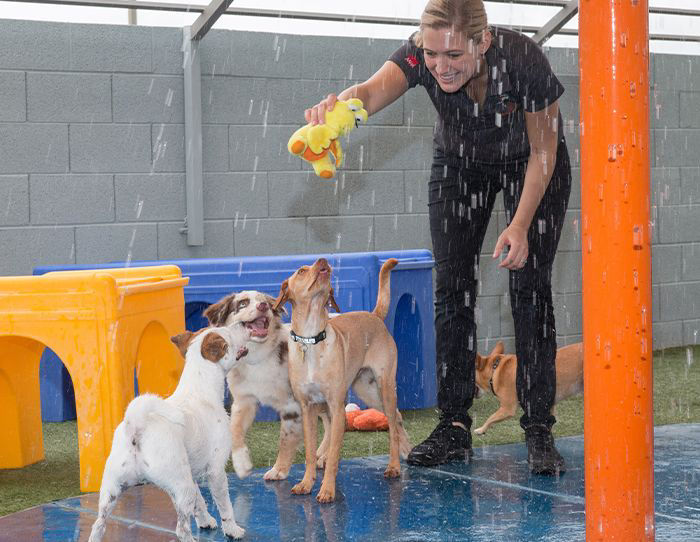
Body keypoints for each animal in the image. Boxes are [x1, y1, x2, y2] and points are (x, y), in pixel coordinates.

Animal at [89, 328, 250, 542]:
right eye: (229, 332)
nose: (245, 327)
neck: (200, 390)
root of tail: (137, 427)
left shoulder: (192, 474)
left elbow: (200, 503)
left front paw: (206, 521)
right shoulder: (216, 471)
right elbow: (225, 506)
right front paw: (232, 530)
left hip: (112, 490)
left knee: (98, 525)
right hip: (182, 486)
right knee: (181, 528)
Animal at [204, 292, 330, 482]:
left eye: (266, 303)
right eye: (242, 303)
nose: (262, 306)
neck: (257, 358)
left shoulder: (292, 405)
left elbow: (286, 439)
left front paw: (279, 469)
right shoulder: (244, 401)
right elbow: (234, 430)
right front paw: (242, 464)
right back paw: (321, 455)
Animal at [274, 260, 410, 506]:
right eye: (301, 271)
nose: (323, 260)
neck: (311, 339)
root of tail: (375, 315)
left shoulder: (336, 406)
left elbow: (335, 455)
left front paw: (327, 490)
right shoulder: (308, 408)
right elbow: (309, 453)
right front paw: (306, 483)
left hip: (384, 387)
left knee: (393, 423)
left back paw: (394, 465)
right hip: (367, 391)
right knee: (396, 416)